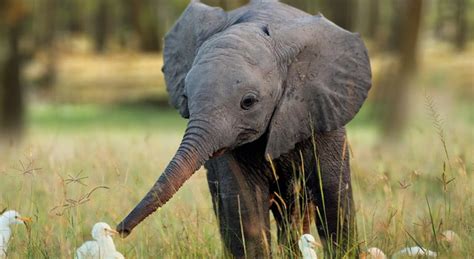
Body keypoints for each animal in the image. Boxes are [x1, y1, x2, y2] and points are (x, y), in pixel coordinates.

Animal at [117, 0, 370, 258]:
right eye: (186, 97)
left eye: (248, 102)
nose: (121, 230)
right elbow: (245, 203)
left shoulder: (321, 109)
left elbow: (332, 195)